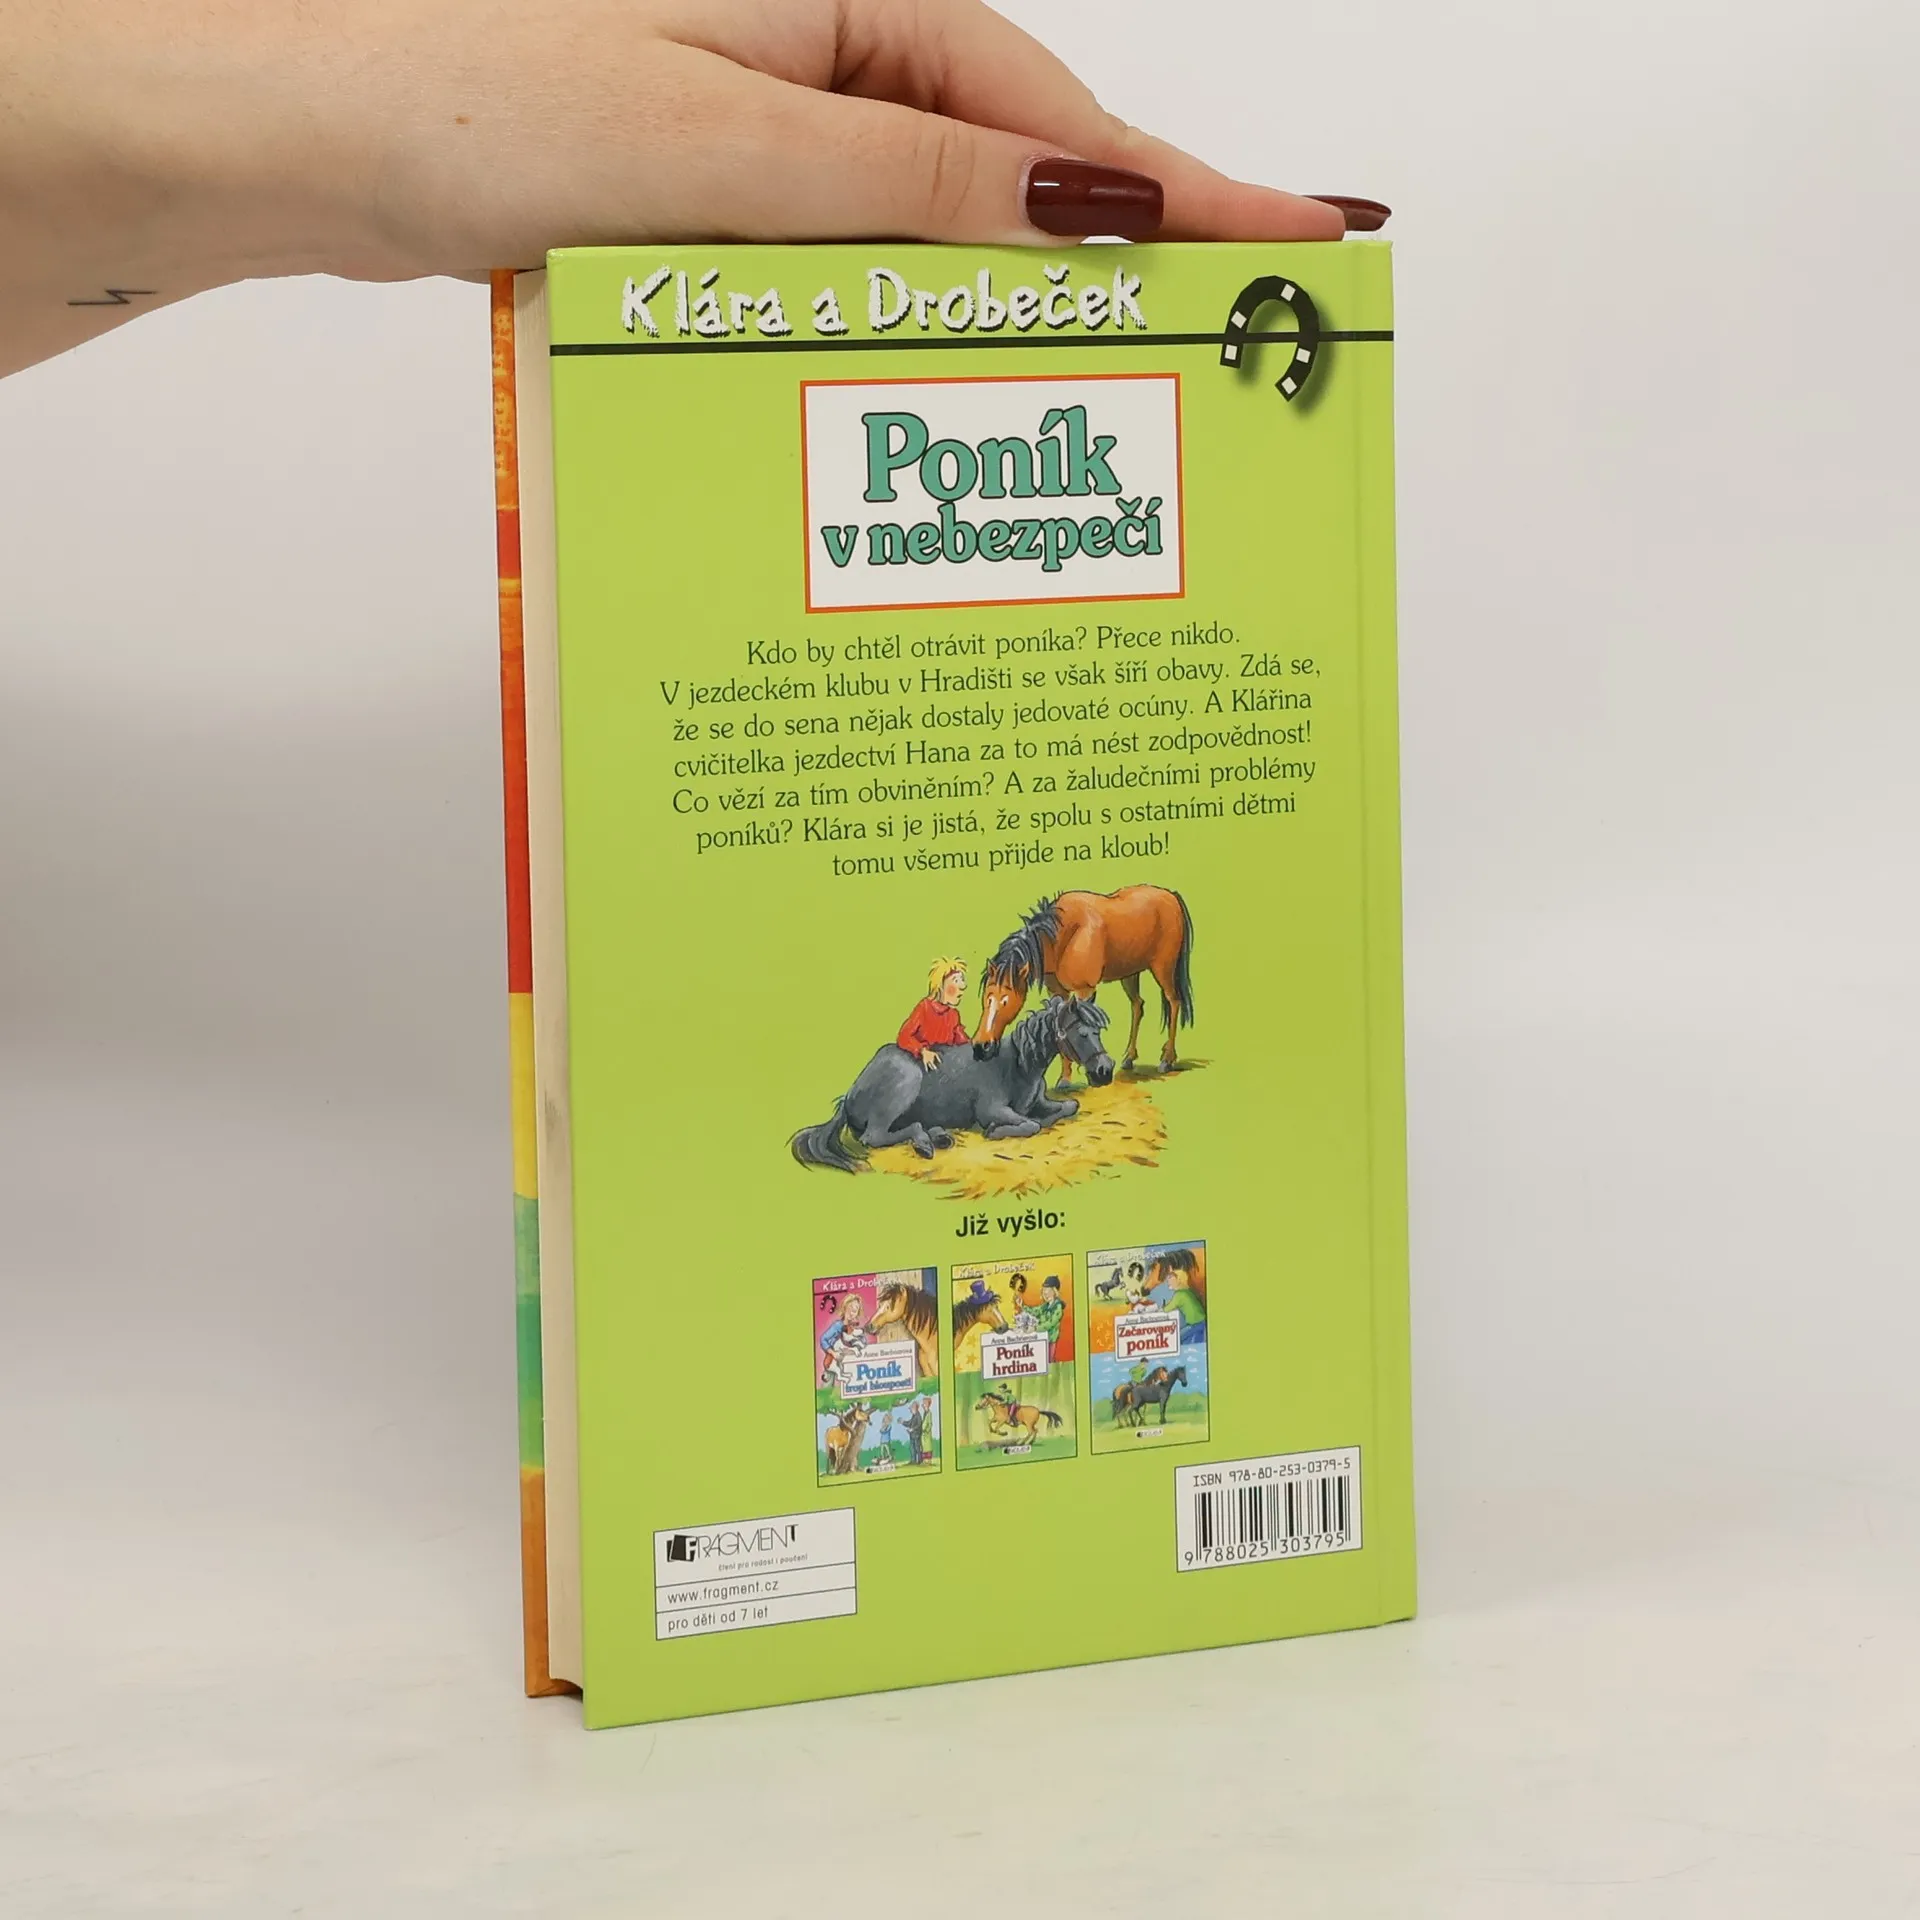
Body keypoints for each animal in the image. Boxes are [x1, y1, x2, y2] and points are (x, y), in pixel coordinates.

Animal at [790, 995, 1114, 1172]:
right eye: (1083, 1033)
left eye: (1098, 1030)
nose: (1105, 1071)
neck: (1019, 1064)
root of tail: (849, 1095)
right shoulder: (992, 1109)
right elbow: (1030, 1124)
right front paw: (996, 1131)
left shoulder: (1042, 1102)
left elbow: (1069, 1106)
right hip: (904, 1084)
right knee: (875, 1136)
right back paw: (925, 1142)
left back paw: (938, 1137)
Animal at [972, 885, 1194, 1085]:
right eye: (986, 999)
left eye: (1006, 1000)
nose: (981, 1046)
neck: (1064, 935)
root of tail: (1171, 896)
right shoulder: (1058, 991)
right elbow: (1060, 1023)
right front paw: (1065, 1079)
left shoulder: (1084, 990)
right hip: (1130, 973)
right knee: (1138, 1005)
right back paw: (1129, 1058)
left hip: (1163, 969)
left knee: (1174, 1002)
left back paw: (1166, 1060)